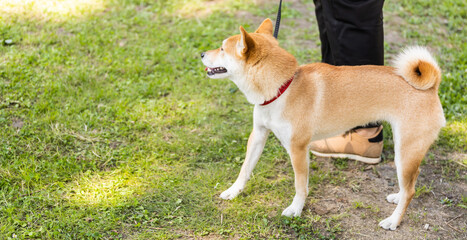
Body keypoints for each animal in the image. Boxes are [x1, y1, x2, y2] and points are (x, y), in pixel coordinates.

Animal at [200, 19, 446, 231]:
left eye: (222, 49)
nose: (201, 54)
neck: (283, 88)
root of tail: (431, 85)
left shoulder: (298, 149)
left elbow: (300, 185)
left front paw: (295, 209)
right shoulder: (258, 135)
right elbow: (245, 169)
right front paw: (234, 191)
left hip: (404, 152)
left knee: (410, 190)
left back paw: (393, 220)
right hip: (407, 154)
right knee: (410, 184)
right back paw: (397, 196)